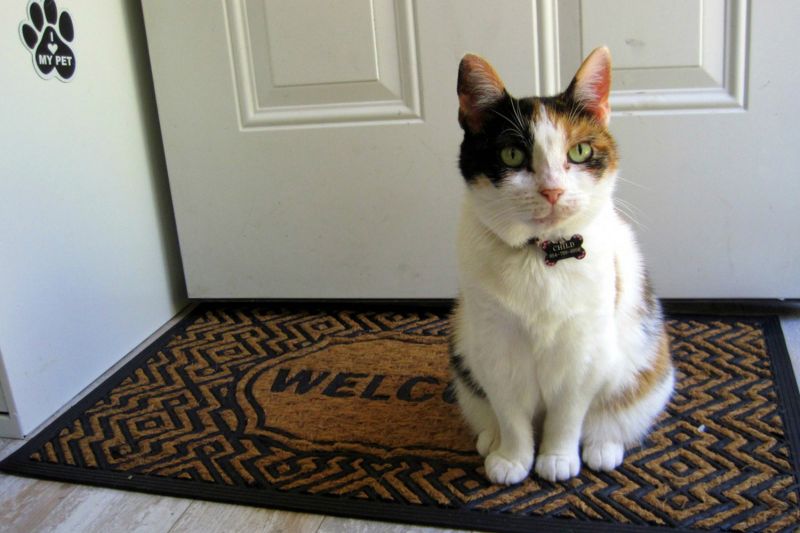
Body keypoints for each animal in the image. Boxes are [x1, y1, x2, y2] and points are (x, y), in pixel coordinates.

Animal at [454, 47, 672, 484]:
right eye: (512, 155)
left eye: (580, 152)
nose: (552, 190)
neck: (540, 257)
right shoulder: (495, 346)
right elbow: (510, 412)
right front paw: (512, 459)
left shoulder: (582, 351)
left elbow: (567, 415)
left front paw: (556, 458)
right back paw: (490, 438)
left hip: (647, 369)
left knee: (613, 416)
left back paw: (603, 446)